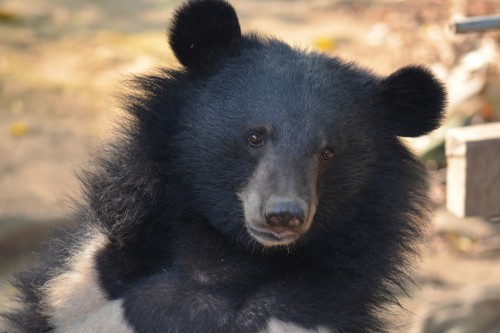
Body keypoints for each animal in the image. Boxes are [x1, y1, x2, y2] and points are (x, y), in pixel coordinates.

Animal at [1, 0, 448, 332]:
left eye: (328, 153)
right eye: (254, 137)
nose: (283, 215)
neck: (225, 259)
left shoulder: (304, 316)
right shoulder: (78, 287)